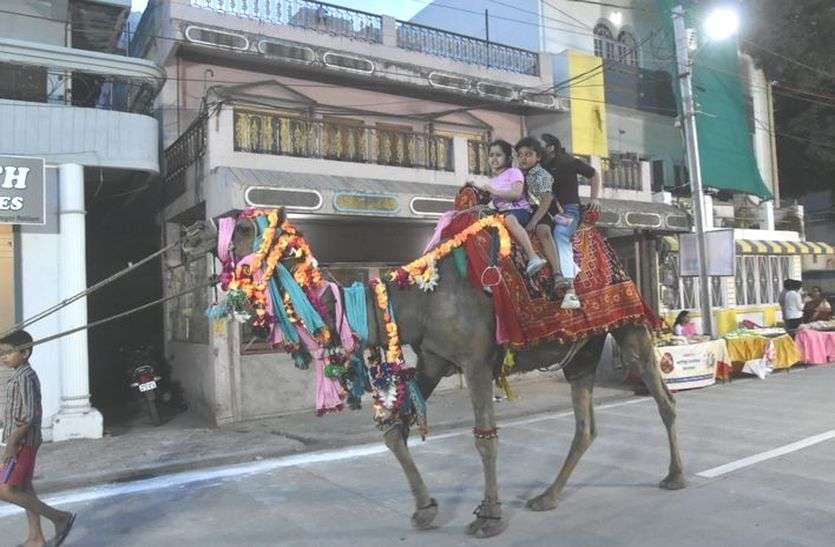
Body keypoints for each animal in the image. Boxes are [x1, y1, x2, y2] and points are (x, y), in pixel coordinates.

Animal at [229, 213, 684, 540]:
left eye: (246, 230)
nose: (227, 280)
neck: (416, 301)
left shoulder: (476, 362)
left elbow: (485, 440)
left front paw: (488, 517)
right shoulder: (433, 360)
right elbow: (395, 431)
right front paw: (424, 509)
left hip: (629, 323)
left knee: (663, 397)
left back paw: (674, 476)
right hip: (582, 350)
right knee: (585, 425)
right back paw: (546, 497)